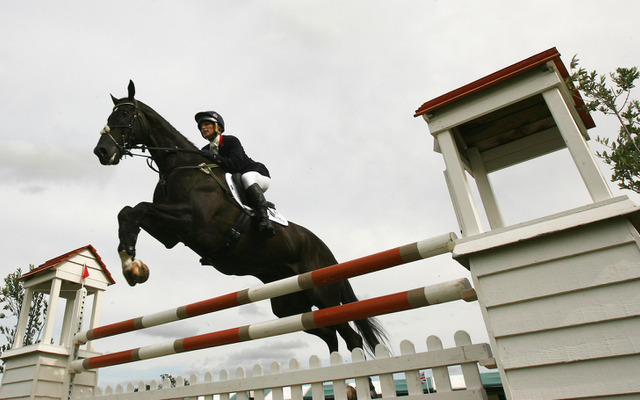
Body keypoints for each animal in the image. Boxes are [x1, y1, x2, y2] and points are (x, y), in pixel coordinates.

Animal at [92, 80, 388, 356]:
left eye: (125, 114)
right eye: (110, 116)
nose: (101, 152)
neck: (180, 166)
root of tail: (326, 251)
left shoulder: (193, 222)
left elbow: (137, 208)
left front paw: (131, 266)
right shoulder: (169, 234)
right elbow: (129, 212)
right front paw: (131, 264)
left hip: (321, 293)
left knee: (351, 337)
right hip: (289, 302)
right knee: (327, 332)